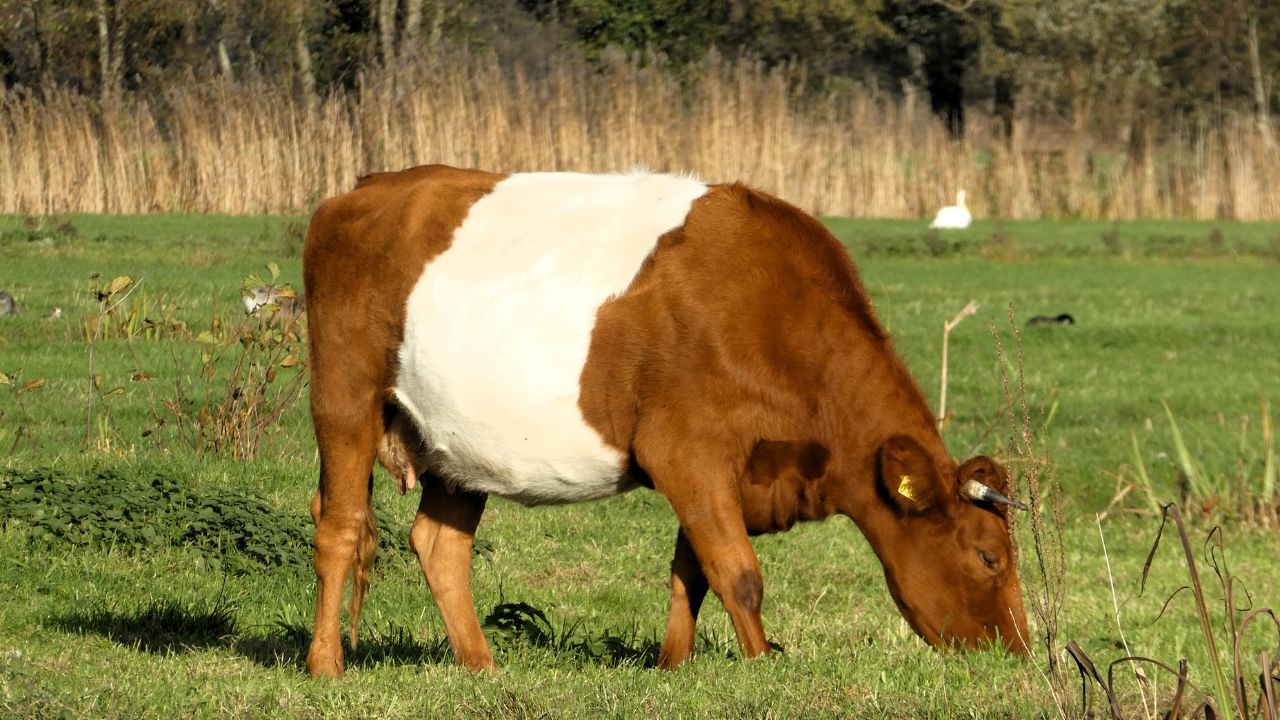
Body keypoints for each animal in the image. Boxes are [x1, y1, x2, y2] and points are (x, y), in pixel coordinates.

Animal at [302, 164, 1030, 678]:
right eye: (988, 556)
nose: (1019, 653)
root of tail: (361, 189)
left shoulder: (721, 470)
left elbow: (695, 573)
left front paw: (673, 667)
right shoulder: (686, 449)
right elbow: (739, 574)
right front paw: (760, 669)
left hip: (460, 441)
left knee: (439, 544)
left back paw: (481, 666)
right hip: (344, 397)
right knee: (339, 525)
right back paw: (326, 665)